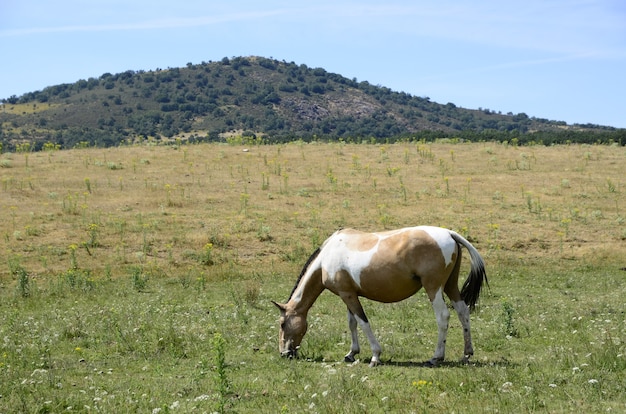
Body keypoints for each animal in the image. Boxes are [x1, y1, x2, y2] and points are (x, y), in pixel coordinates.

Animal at [270, 226, 486, 366]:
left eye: (282, 324)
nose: (284, 353)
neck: (327, 257)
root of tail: (449, 234)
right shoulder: (348, 295)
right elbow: (352, 323)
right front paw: (351, 354)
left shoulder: (348, 296)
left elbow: (363, 322)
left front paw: (375, 355)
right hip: (450, 286)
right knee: (463, 312)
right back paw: (467, 354)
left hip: (433, 288)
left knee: (443, 317)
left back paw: (436, 357)